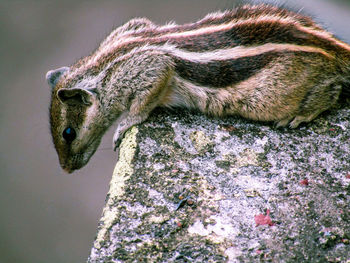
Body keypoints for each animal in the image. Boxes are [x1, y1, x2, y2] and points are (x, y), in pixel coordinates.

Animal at [46, 4, 350, 173]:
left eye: (68, 133)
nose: (66, 170)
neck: (104, 65)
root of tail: (334, 47)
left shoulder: (149, 69)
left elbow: (144, 102)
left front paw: (125, 125)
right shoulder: (132, 27)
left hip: (271, 96)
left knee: (332, 89)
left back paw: (301, 114)